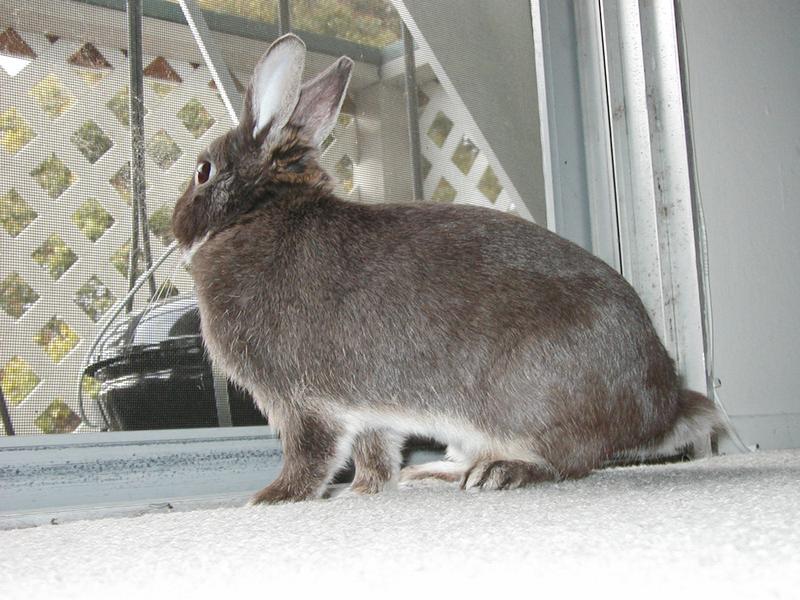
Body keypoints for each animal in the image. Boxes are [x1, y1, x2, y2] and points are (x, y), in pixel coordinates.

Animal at [173, 31, 724, 502]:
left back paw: (499, 472)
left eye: (203, 172)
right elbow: (375, 453)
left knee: (567, 459)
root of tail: (660, 407)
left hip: (521, 403)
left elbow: (312, 456)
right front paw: (365, 492)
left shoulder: (304, 403)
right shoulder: (368, 412)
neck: (258, 212)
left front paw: (272, 499)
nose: (176, 226)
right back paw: (434, 473)